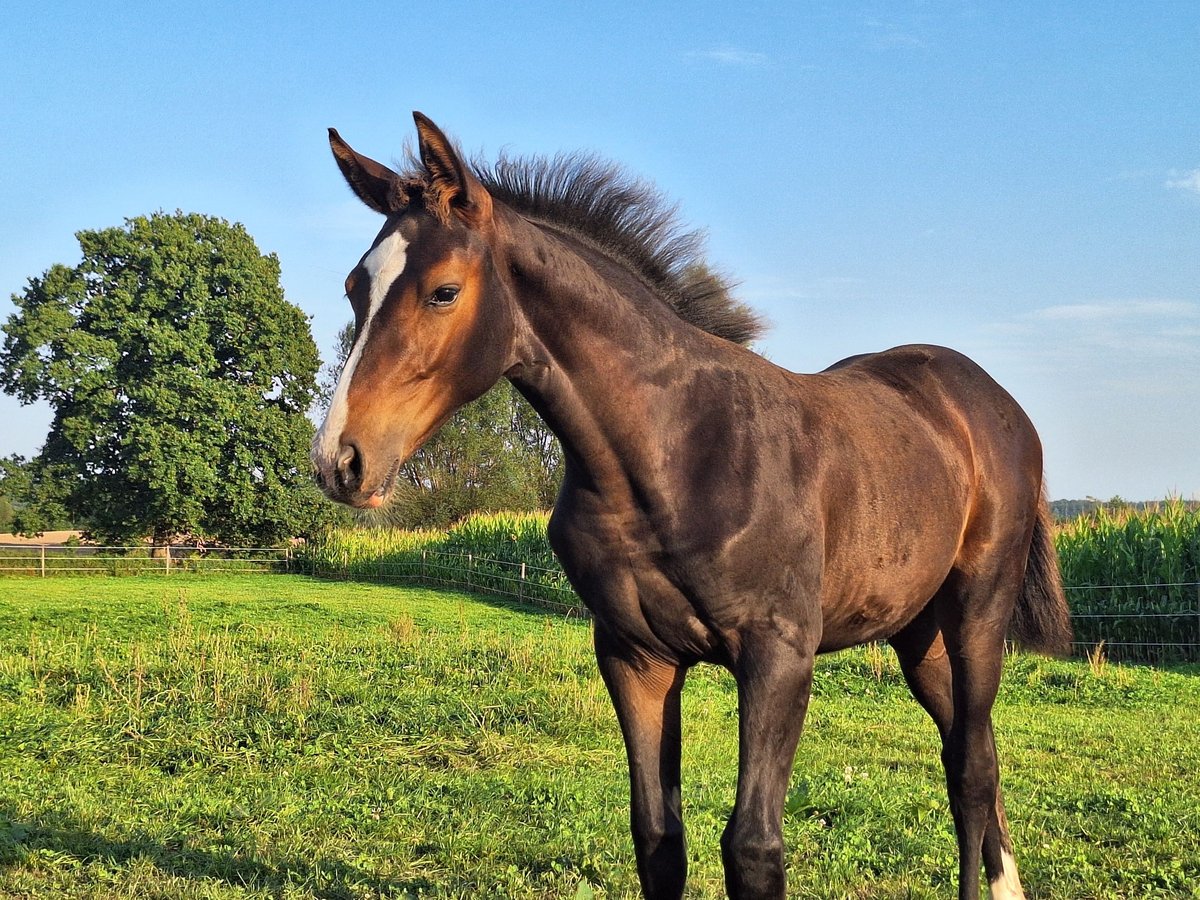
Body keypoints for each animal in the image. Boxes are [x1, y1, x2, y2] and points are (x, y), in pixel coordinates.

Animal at [309, 112, 1070, 900]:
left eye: (444, 291)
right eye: (355, 287)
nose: (340, 461)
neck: (674, 454)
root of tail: (992, 400)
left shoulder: (779, 656)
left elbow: (753, 847)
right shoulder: (635, 656)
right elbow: (658, 838)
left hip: (978, 609)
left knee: (972, 768)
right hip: (917, 631)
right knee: (970, 751)